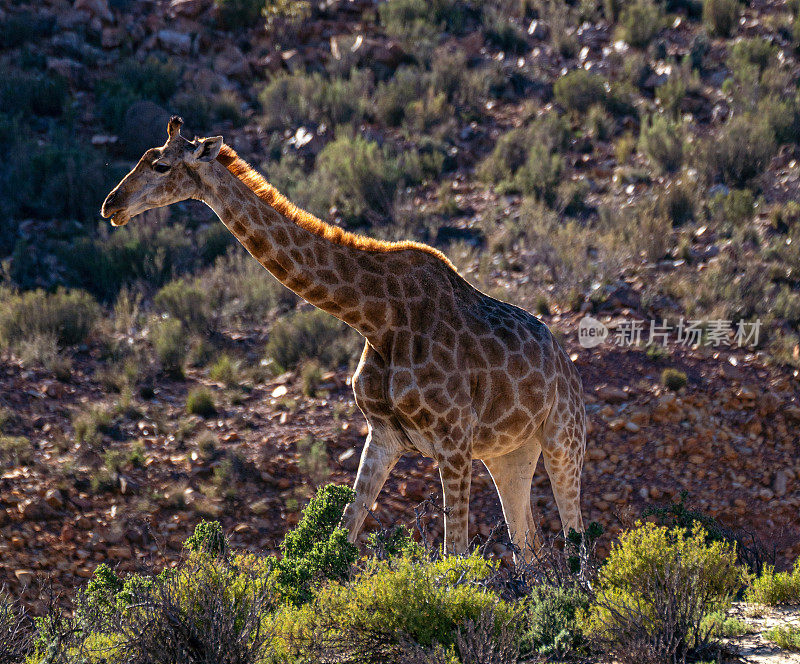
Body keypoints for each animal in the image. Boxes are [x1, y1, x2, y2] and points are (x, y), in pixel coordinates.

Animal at [103, 116, 584, 556]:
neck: (378, 318)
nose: (111, 205)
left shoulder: (453, 441)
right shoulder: (384, 435)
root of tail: (568, 367)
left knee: (577, 544)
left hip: (563, 442)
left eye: (161, 165)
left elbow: (455, 556)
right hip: (509, 455)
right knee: (532, 548)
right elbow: (342, 534)